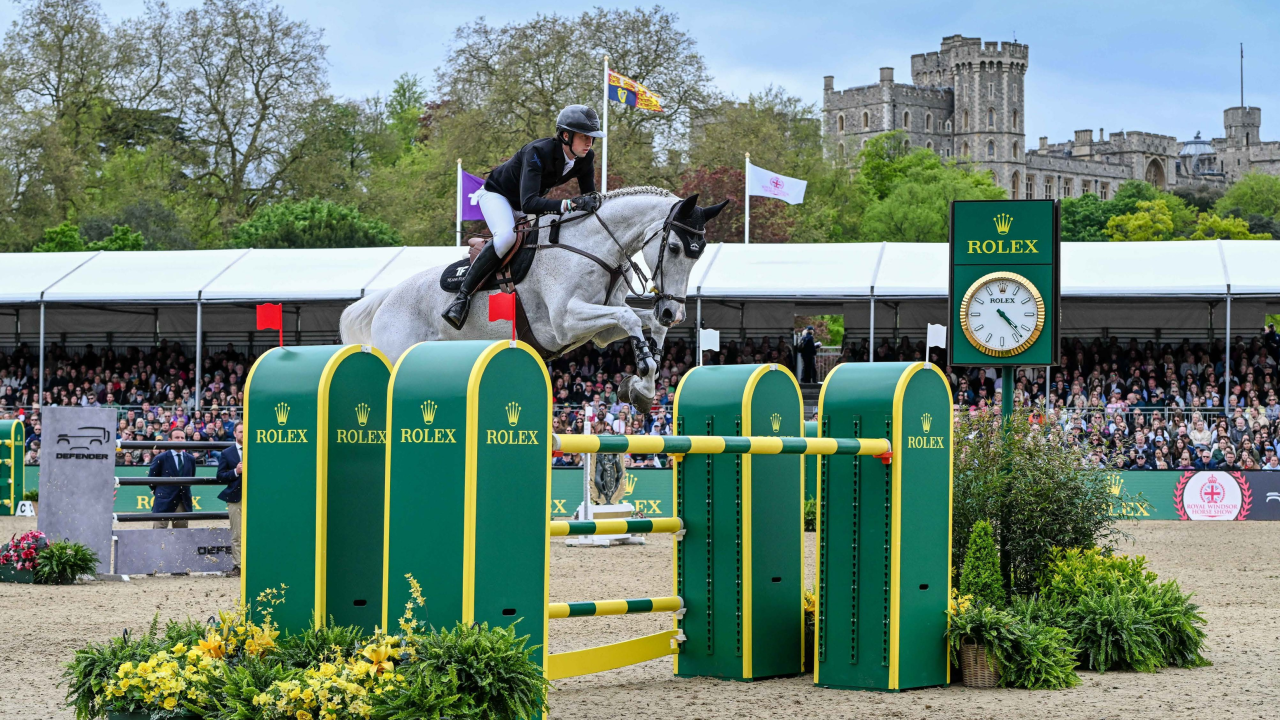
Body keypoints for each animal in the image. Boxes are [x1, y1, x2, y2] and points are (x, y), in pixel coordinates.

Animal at [339, 187, 728, 413]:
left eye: (700, 253)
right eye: (674, 248)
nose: (672, 311)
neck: (593, 247)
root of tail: (386, 299)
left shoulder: (601, 330)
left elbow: (641, 324)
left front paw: (643, 388)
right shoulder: (564, 322)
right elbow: (631, 319)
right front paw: (643, 374)